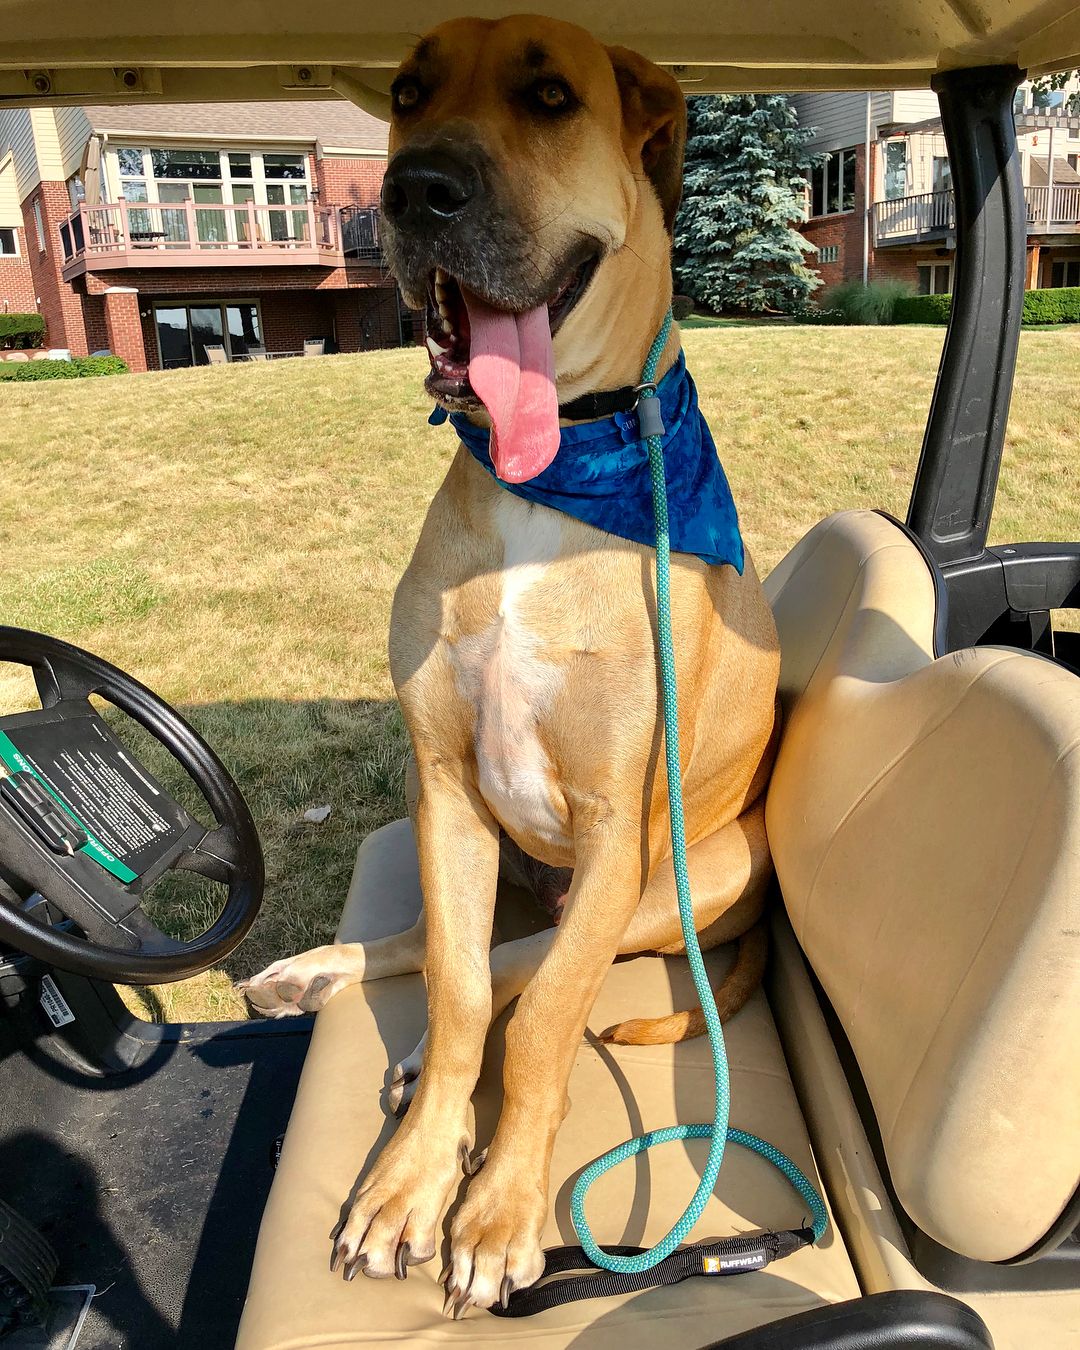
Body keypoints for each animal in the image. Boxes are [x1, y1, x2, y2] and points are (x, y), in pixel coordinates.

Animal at [241, 13, 783, 1317]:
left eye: (550, 97)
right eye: (405, 92)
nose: (414, 190)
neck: (556, 476)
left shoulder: (614, 830)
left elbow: (535, 1025)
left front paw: (495, 1207)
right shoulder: (443, 787)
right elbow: (457, 985)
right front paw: (410, 1179)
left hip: (669, 887)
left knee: (538, 976)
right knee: (463, 956)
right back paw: (312, 979)